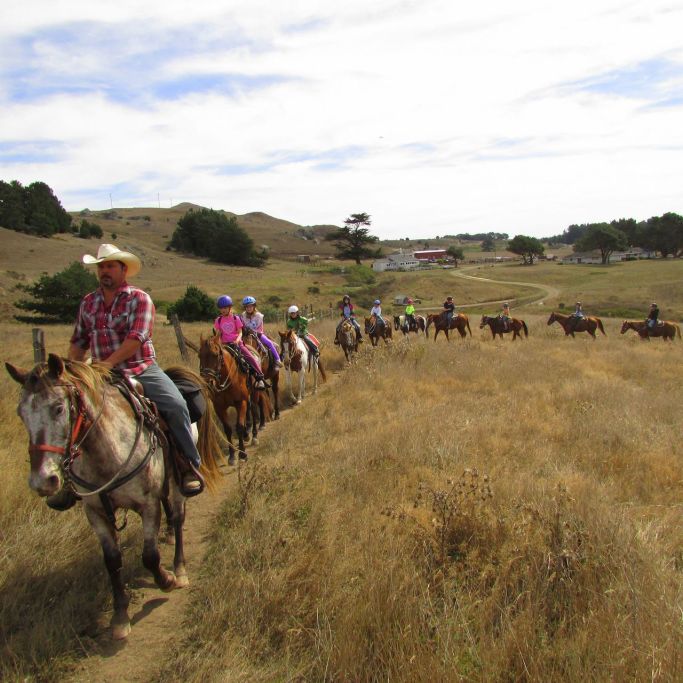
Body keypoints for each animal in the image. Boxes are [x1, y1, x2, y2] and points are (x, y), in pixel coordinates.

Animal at [6, 356, 224, 640]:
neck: (104, 452)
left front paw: (166, 580)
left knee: (177, 517)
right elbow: (112, 561)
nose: (42, 481)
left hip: (178, 482)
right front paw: (120, 616)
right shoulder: (96, 512)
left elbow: (150, 556)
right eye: (21, 414)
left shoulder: (147, 504)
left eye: (58, 409)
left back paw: (179, 568)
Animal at [200, 332, 254, 464]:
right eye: (199, 356)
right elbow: (228, 429)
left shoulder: (241, 402)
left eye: (215, 355)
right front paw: (232, 456)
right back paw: (247, 434)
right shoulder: (219, 407)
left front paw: (243, 454)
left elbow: (239, 427)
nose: (208, 383)